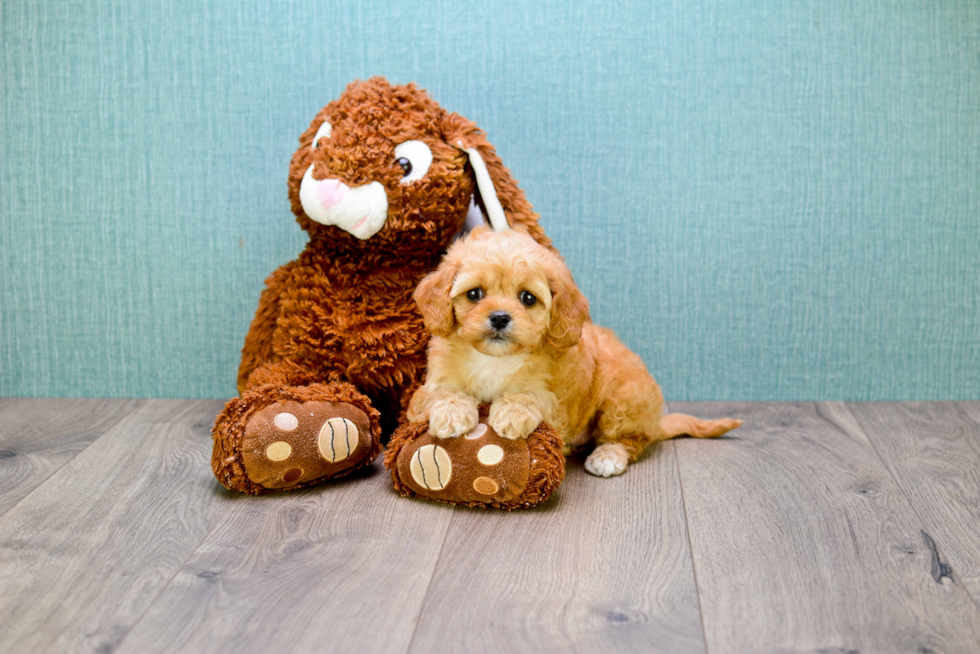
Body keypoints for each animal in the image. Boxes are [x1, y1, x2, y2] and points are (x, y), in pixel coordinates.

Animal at [408, 228, 744, 480]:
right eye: (475, 293)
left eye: (527, 298)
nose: (500, 317)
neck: (494, 358)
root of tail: (655, 420)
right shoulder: (427, 387)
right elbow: (441, 393)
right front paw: (452, 413)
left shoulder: (555, 396)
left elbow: (531, 395)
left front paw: (513, 413)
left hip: (621, 399)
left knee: (630, 439)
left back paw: (608, 456)